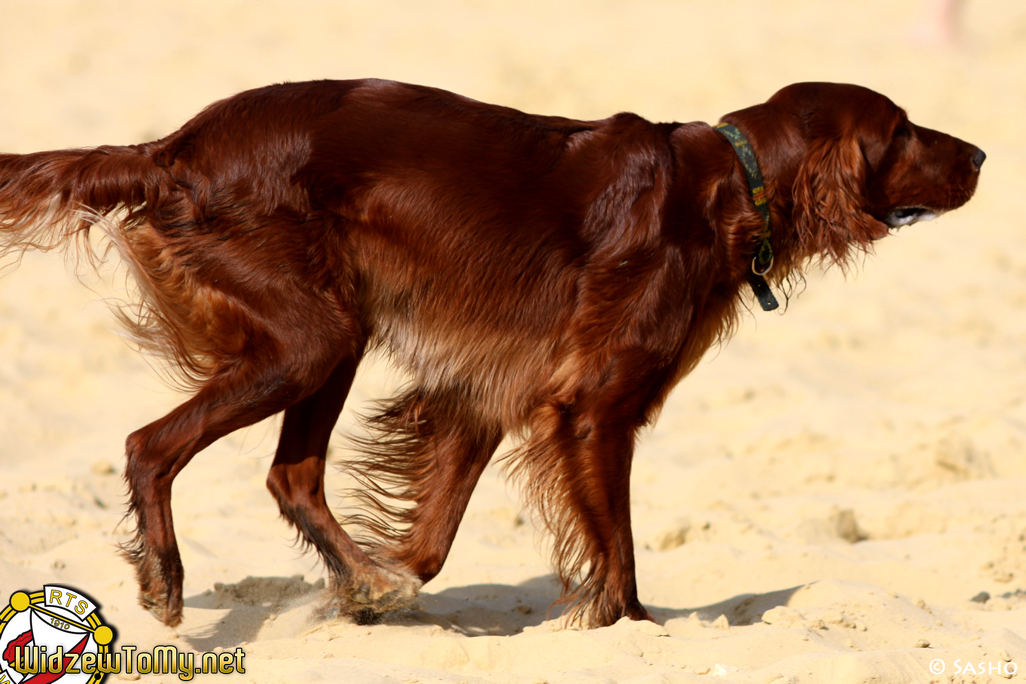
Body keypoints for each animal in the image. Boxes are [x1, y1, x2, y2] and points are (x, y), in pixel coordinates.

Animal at [0, 78, 980, 627]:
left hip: (331, 333)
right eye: (901, 130)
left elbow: (434, 542)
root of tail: (172, 149)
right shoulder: (593, 408)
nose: (977, 152)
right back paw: (167, 581)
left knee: (291, 476)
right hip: (314, 338)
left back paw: (365, 582)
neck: (723, 185)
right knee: (151, 446)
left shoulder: (488, 391)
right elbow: (620, 553)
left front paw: (376, 594)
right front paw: (631, 629)